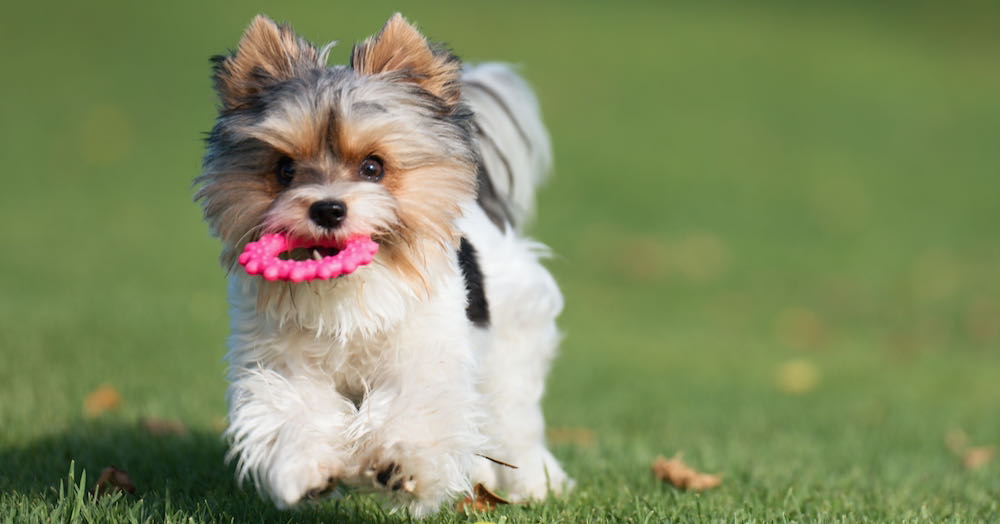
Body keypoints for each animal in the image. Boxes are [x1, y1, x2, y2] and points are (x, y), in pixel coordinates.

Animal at [195, 12, 572, 516]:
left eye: (373, 167)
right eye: (285, 170)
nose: (328, 209)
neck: (346, 290)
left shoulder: (426, 354)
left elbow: (417, 409)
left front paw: (399, 467)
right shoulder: (279, 361)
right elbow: (291, 410)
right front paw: (308, 472)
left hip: (512, 342)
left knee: (514, 421)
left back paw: (534, 484)